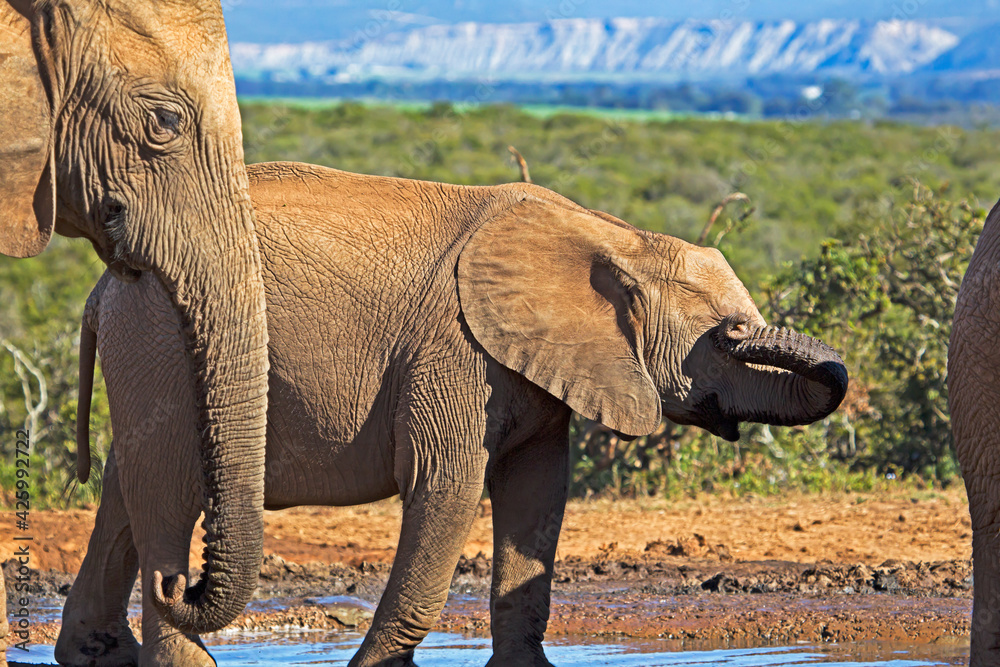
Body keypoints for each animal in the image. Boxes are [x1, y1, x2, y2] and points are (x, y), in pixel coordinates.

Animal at [61, 161, 849, 667]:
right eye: (726, 338)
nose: (748, 329)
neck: (614, 237)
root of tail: (100, 288)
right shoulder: (456, 347)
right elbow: (447, 484)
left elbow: (538, 494)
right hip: (161, 339)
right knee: (168, 488)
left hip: (146, 347)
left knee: (127, 487)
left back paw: (97, 653)